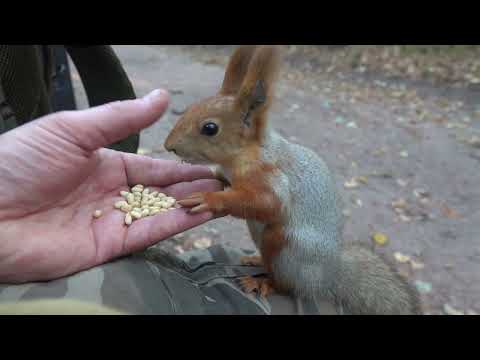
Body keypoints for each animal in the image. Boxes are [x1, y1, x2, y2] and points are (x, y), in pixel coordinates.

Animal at [164, 45, 420, 316]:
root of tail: (327, 279)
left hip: (285, 247)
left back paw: (263, 282)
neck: (242, 155)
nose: (169, 146)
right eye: (191, 108)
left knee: (286, 285)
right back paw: (255, 259)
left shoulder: (273, 179)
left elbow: (266, 204)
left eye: (210, 128)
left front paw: (209, 198)